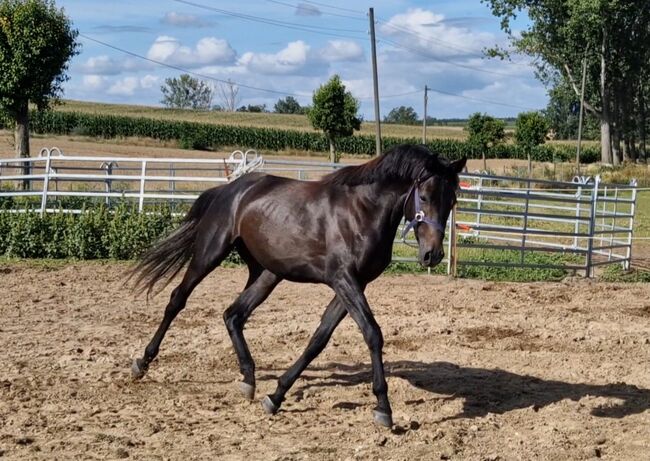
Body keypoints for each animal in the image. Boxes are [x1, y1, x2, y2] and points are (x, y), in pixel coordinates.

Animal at [130, 145, 466, 428]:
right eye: (424, 197)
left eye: (451, 201)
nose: (433, 254)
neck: (361, 211)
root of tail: (230, 189)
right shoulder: (344, 280)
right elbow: (373, 334)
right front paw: (383, 409)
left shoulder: (353, 285)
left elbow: (318, 339)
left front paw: (276, 396)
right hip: (210, 253)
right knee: (178, 299)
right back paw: (141, 364)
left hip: (267, 273)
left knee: (233, 314)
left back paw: (248, 380)